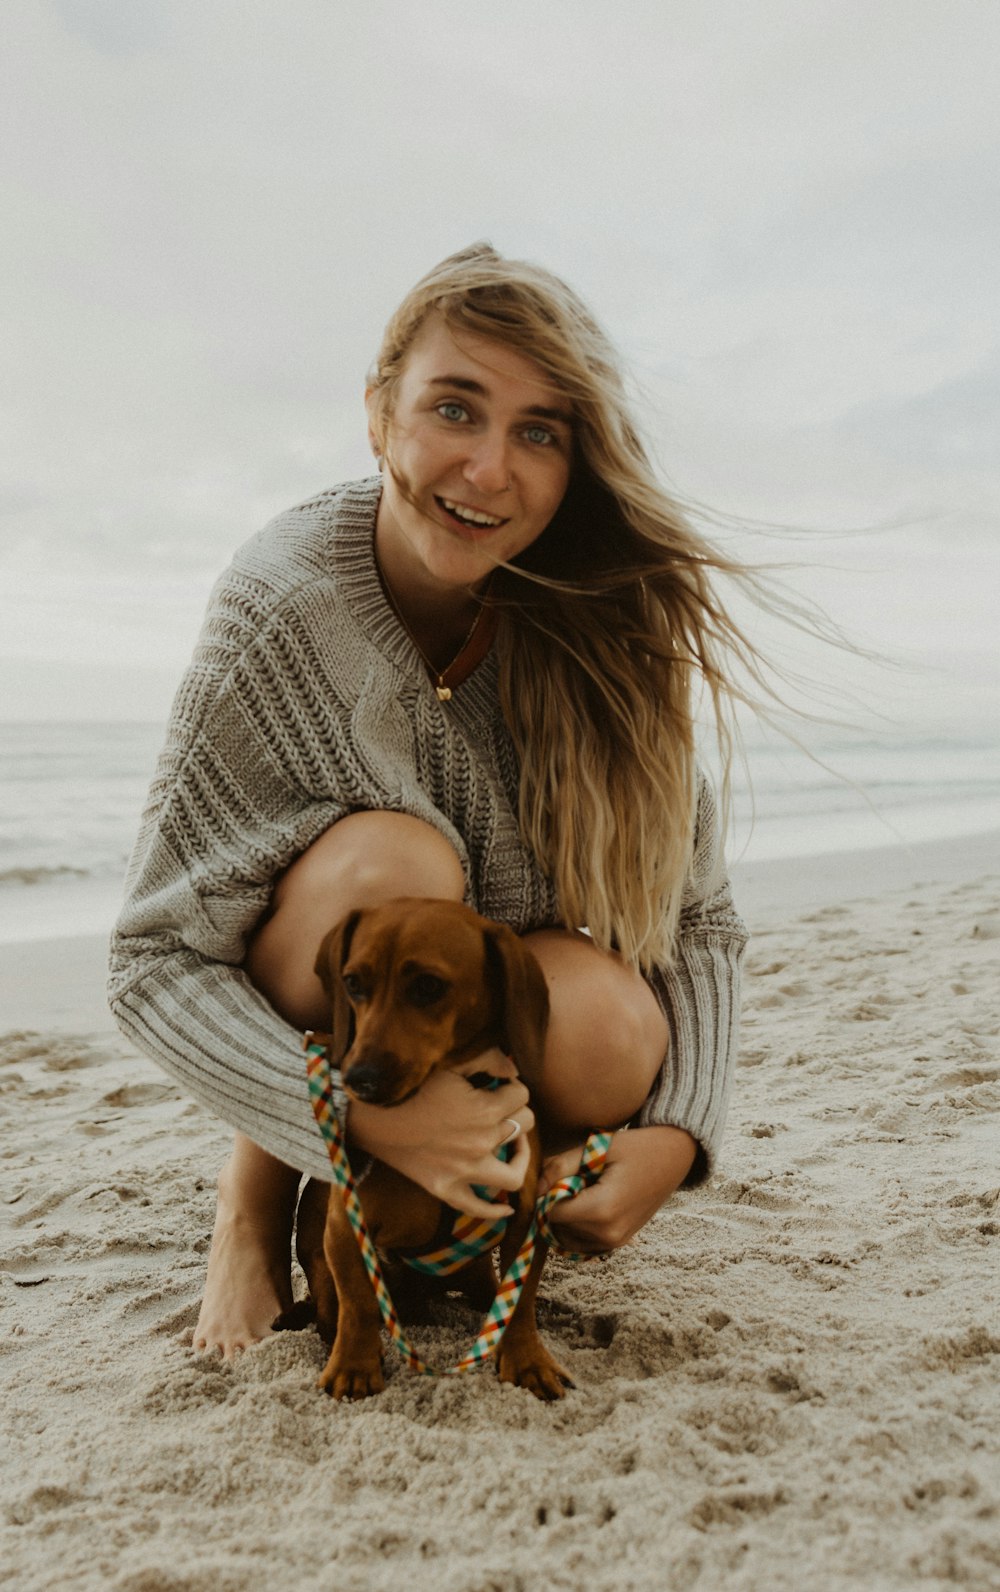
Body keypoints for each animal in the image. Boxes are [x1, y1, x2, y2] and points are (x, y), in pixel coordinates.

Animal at [289, 904, 573, 1400]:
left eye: (427, 986)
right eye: (353, 983)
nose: (358, 1079)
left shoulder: (525, 1219)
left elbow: (518, 1302)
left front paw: (527, 1359)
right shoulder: (345, 1230)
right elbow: (359, 1304)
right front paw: (353, 1365)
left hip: (474, 1270)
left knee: (488, 1293)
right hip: (320, 1268)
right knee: (332, 1312)